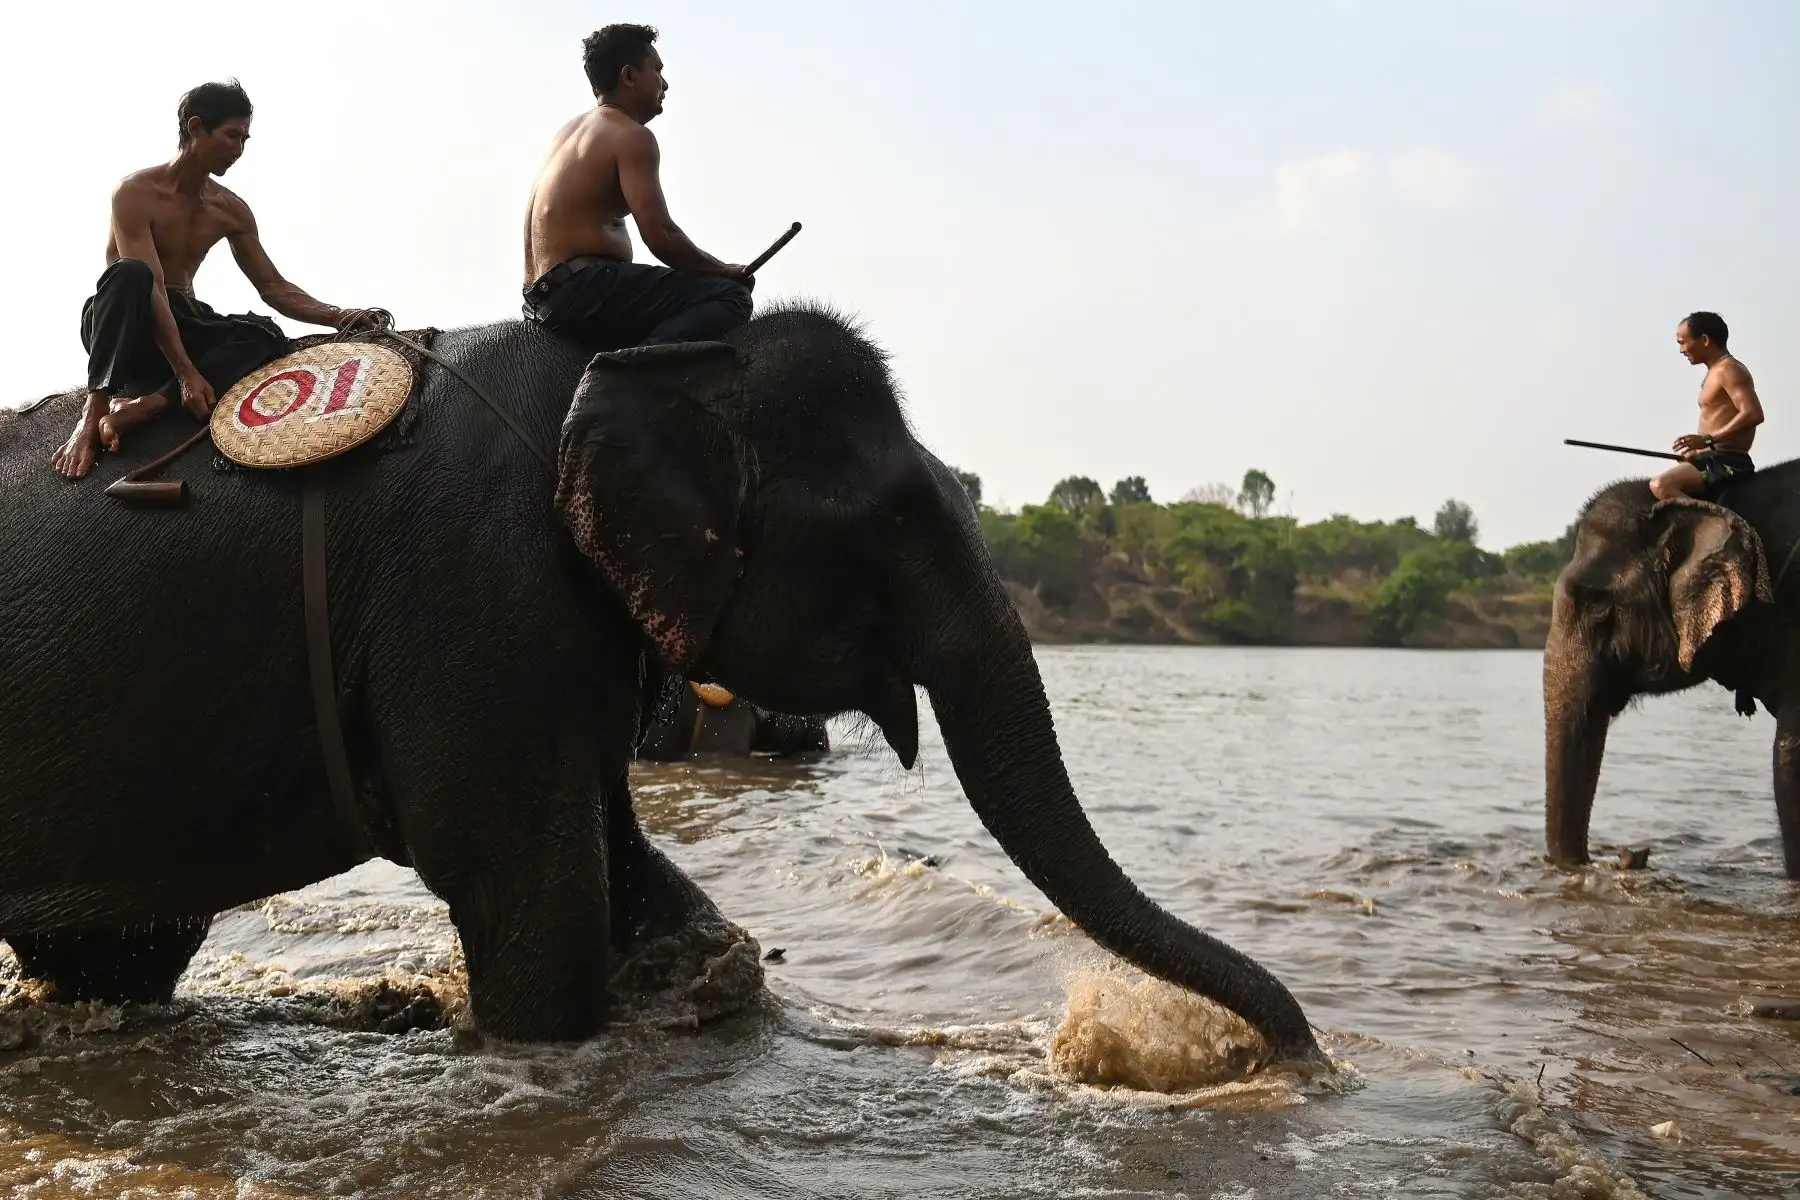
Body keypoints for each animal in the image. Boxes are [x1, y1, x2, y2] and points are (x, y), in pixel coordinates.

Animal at [0, 304, 1322, 1063]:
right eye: (896, 520)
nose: (1292, 1056)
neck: (628, 358)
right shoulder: (477, 579)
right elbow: (525, 885)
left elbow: (622, 858)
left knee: (122, 954)